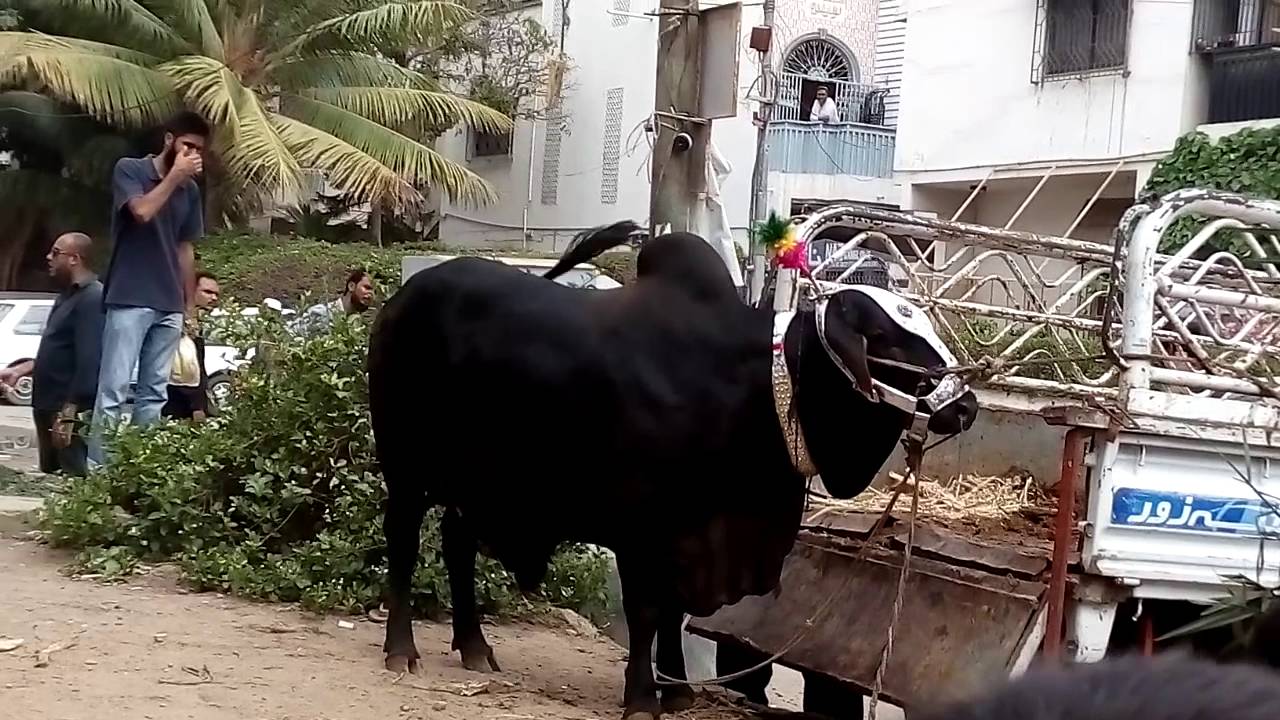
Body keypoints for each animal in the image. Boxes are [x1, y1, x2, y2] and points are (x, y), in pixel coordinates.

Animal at [367, 221, 979, 720]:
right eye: (884, 337)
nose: (966, 405)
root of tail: (403, 296)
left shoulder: (689, 535)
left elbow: (672, 613)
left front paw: (678, 689)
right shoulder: (643, 530)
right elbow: (645, 612)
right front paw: (642, 696)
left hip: (478, 482)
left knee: (456, 543)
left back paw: (474, 646)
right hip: (406, 469)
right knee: (403, 541)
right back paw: (402, 649)